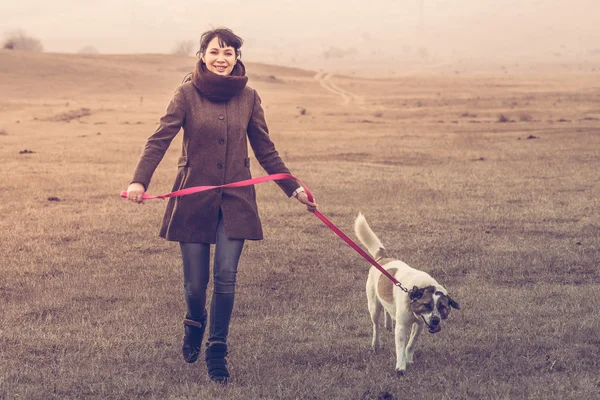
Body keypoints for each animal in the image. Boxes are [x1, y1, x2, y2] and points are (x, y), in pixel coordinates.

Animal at [354, 214, 462, 374]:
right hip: (373, 305)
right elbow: (400, 346)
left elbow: (411, 344)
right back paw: (376, 343)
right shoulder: (402, 327)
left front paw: (409, 358)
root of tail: (383, 258)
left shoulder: (420, 324)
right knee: (376, 324)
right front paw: (400, 366)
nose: (435, 320)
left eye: (442, 307)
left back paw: (388, 324)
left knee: (387, 309)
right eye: (426, 305)